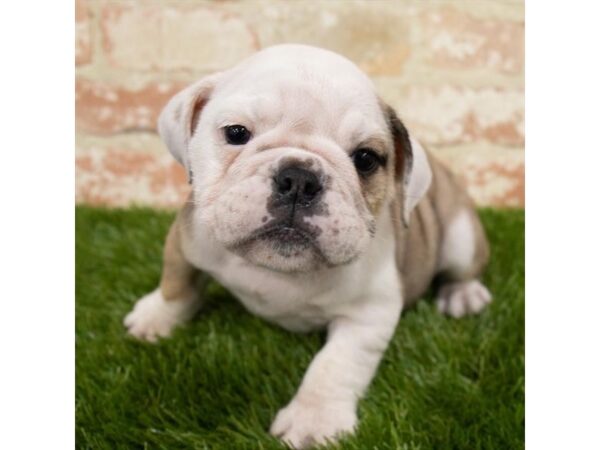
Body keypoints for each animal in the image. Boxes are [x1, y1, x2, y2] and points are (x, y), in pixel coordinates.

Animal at [124, 44, 490, 448]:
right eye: (236, 133)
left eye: (366, 159)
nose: (299, 179)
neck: (277, 268)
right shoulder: (186, 240)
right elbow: (177, 283)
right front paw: (156, 318)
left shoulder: (368, 314)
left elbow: (335, 364)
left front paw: (314, 421)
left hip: (460, 236)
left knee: (463, 267)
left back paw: (463, 295)